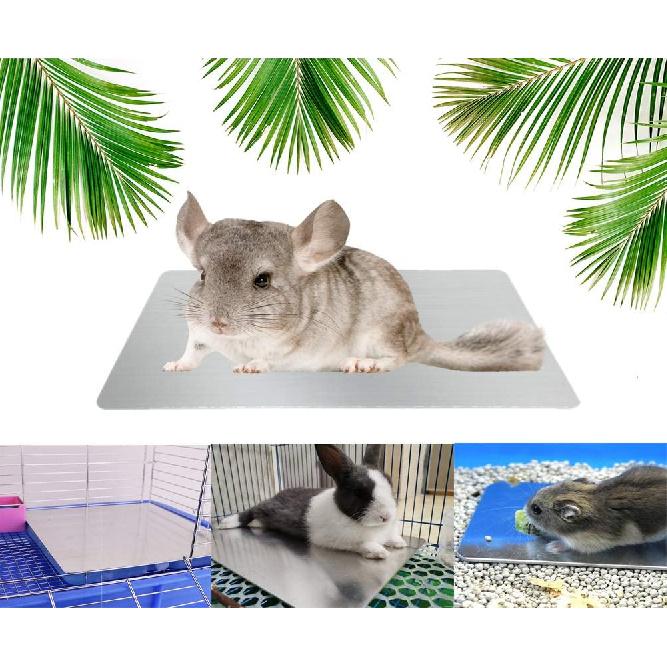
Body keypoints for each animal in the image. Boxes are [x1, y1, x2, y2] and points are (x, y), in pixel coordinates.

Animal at [163, 193, 545, 374]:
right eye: (202, 275)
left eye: (262, 280)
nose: (217, 322)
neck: (241, 340)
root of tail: (417, 332)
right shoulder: (198, 336)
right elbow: (191, 353)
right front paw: (173, 366)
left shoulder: (295, 352)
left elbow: (270, 360)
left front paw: (249, 366)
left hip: (380, 333)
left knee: (399, 358)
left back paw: (363, 364)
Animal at [219, 444, 408, 559]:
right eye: (359, 492)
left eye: (390, 484)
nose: (386, 516)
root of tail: (277, 494)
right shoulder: (336, 539)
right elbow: (363, 544)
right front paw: (379, 552)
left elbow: (391, 537)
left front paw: (400, 543)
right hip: (267, 508)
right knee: (252, 510)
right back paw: (226, 523)